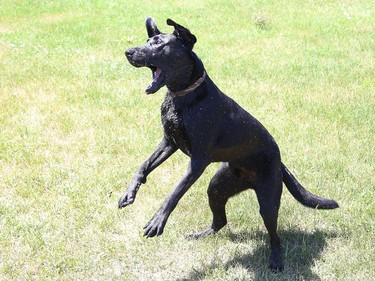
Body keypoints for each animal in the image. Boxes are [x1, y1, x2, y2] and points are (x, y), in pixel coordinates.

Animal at [119, 16, 340, 270]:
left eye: (159, 44)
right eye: (147, 41)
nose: (128, 52)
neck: (185, 97)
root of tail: (280, 163)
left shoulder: (198, 160)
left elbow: (175, 192)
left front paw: (158, 220)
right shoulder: (169, 142)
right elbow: (143, 166)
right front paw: (129, 193)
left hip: (268, 200)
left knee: (274, 235)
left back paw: (276, 260)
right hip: (217, 187)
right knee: (220, 222)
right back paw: (201, 234)